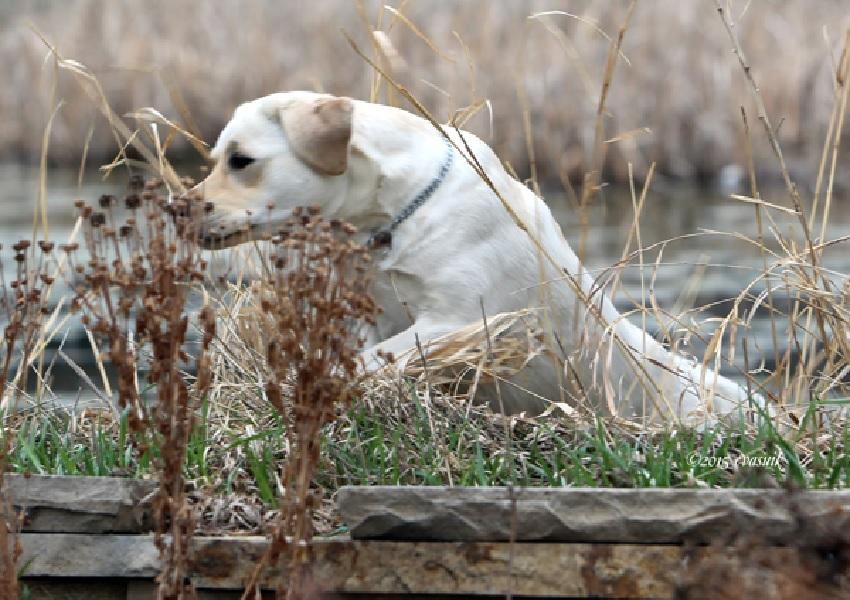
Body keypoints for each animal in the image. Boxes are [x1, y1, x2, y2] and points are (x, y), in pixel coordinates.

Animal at [195, 91, 764, 424]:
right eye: (217, 158)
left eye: (241, 161)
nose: (181, 209)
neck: (394, 216)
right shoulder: (368, 314)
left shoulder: (463, 320)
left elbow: (378, 359)